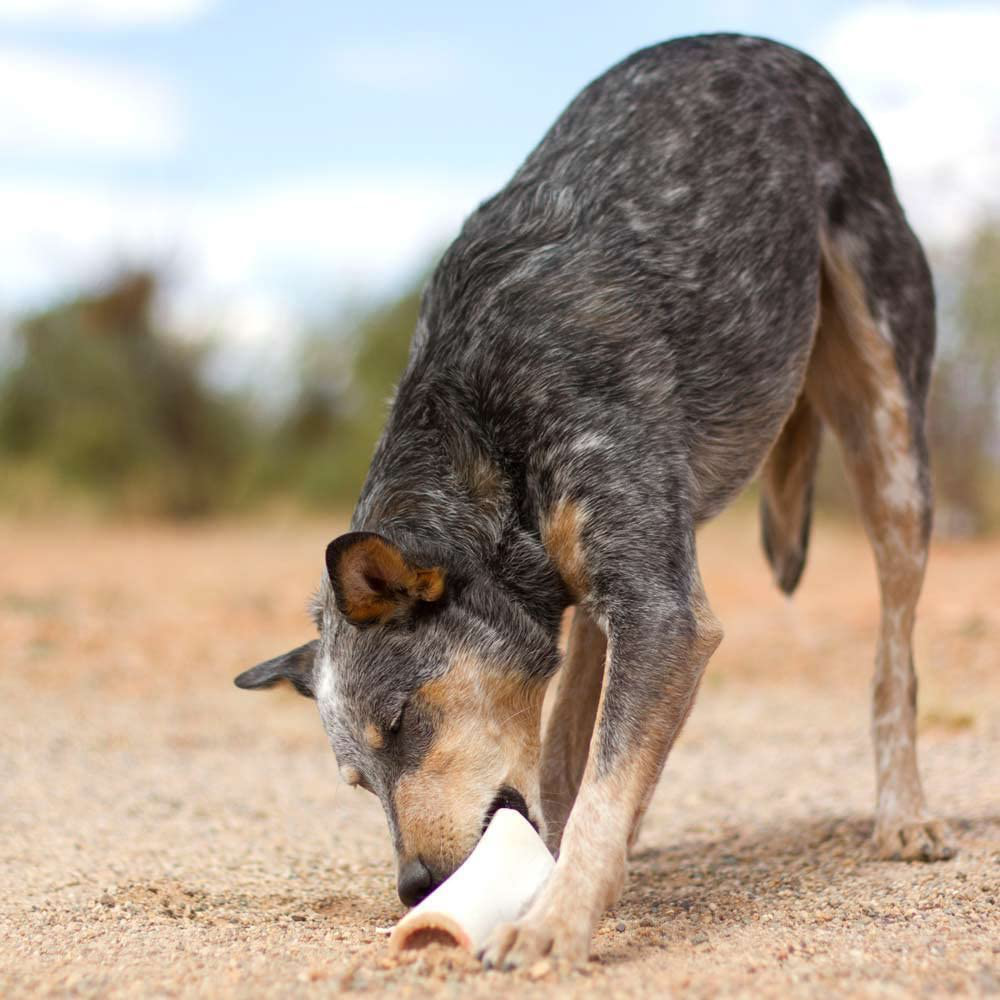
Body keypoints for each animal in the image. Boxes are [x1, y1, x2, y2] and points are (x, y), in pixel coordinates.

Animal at [232, 35, 952, 964]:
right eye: (357, 779)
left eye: (402, 719)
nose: (416, 888)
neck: (481, 433)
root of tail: (777, 50)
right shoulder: (619, 600)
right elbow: (577, 765)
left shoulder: (666, 616)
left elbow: (607, 783)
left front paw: (556, 920)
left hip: (891, 443)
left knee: (894, 662)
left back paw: (904, 816)